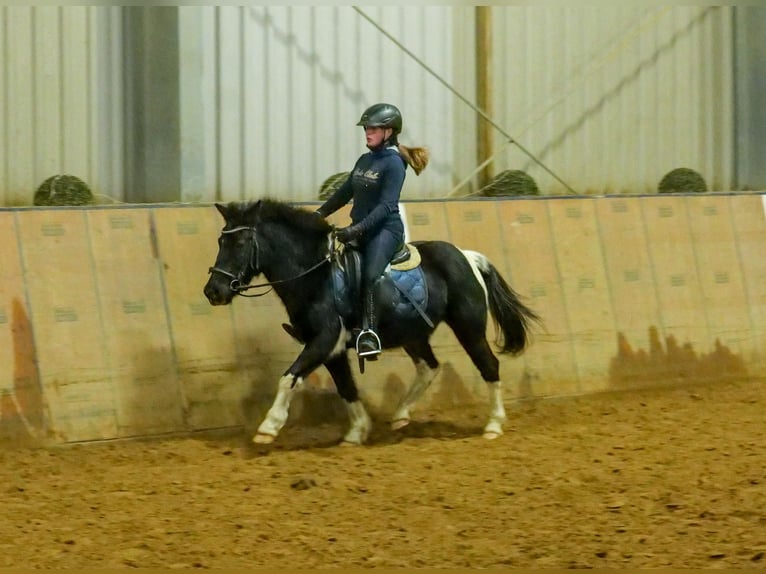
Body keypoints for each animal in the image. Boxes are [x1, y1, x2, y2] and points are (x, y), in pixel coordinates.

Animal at [204, 200, 540, 448]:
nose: (213, 291)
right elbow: (346, 388)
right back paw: (401, 415)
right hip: (412, 334)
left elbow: (289, 377)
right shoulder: (332, 349)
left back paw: (493, 425)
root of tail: (467, 257)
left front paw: (268, 427)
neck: (316, 275)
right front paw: (357, 432)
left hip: (468, 328)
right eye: (221, 240)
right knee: (429, 366)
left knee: (489, 366)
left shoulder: (323, 340)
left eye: (242, 242)